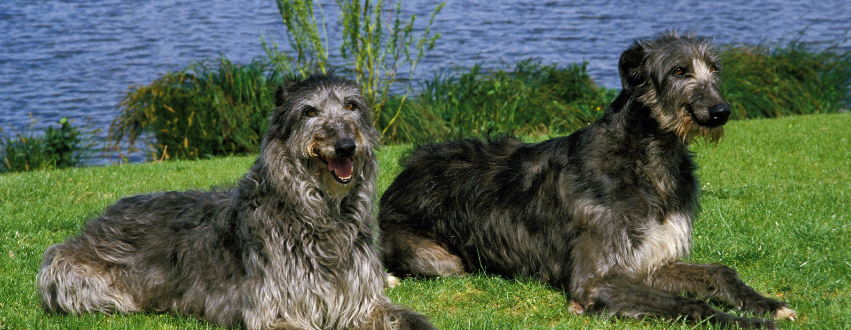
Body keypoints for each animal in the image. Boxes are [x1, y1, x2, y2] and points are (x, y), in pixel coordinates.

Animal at [36, 73, 436, 328]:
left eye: (352, 106)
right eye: (309, 111)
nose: (345, 146)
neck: (319, 215)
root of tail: (100, 218)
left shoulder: (363, 303)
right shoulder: (274, 311)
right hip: (77, 279)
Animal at [380, 30, 800, 328]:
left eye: (714, 70)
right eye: (679, 71)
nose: (720, 111)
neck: (647, 160)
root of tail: (403, 174)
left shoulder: (652, 260)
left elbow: (719, 272)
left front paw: (768, 305)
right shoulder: (595, 278)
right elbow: (687, 304)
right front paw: (747, 322)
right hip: (439, 259)